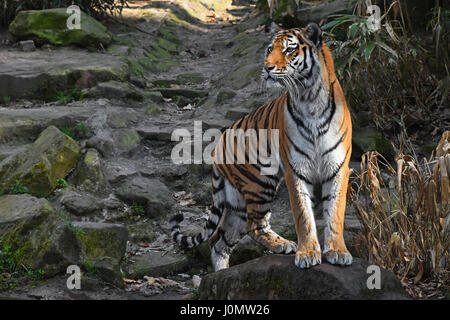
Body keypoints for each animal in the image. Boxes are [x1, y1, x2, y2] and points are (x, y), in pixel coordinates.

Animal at [171, 22, 354, 272]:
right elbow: (303, 215)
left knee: (220, 239)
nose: (267, 68)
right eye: (269, 49)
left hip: (237, 199)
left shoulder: (338, 167)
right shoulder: (295, 170)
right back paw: (284, 245)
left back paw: (222, 273)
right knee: (252, 225)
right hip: (258, 183)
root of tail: (219, 143)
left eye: (289, 50)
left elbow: (335, 211)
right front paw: (307, 253)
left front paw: (338, 251)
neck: (309, 99)